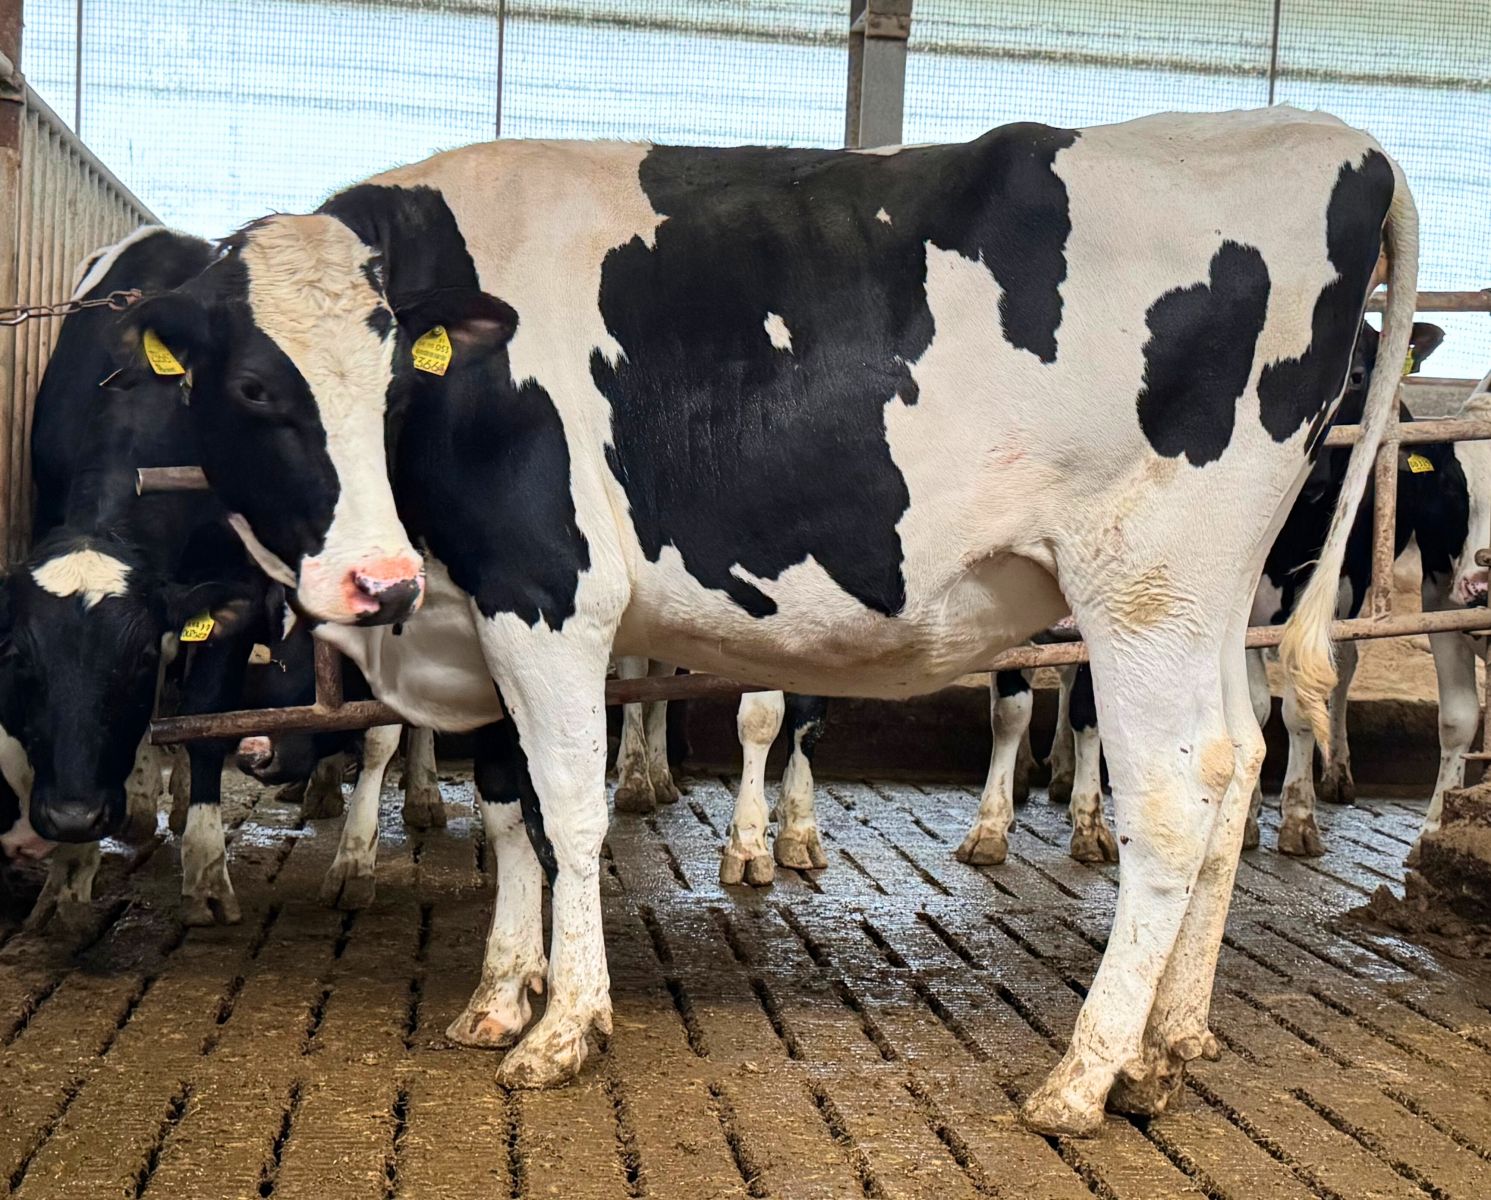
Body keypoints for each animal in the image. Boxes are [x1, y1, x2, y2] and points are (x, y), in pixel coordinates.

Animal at [127, 108, 1416, 1135]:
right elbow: (510, 809)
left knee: (1171, 799)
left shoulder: (547, 590)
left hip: (1144, 584)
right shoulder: (482, 605)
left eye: (395, 377)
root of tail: (1334, 140)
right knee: (1236, 763)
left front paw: (567, 1025)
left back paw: (1088, 1075)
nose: (374, 579)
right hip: (1213, 597)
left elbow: (571, 810)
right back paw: (1170, 1041)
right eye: (252, 386)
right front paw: (501, 994)